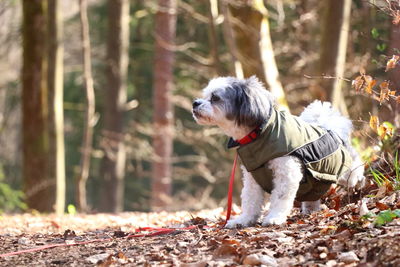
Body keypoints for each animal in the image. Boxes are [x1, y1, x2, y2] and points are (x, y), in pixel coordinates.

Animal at [192, 76, 364, 228]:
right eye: (205, 95)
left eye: (215, 98)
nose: (195, 103)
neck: (259, 134)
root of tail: (332, 130)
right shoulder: (253, 178)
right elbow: (250, 200)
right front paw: (244, 220)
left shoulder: (286, 172)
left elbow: (280, 197)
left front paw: (274, 218)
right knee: (313, 197)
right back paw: (310, 210)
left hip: (346, 173)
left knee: (356, 175)